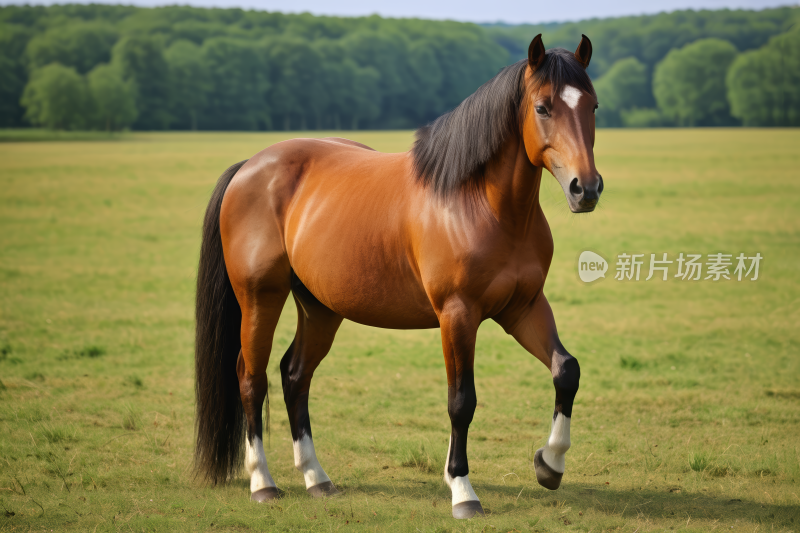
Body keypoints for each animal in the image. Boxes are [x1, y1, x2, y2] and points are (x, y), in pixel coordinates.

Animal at [197, 34, 604, 520]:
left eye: (593, 106)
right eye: (543, 107)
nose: (586, 188)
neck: (481, 203)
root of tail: (250, 166)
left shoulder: (522, 308)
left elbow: (566, 370)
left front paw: (550, 463)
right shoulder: (457, 315)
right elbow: (461, 401)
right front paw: (462, 489)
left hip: (319, 307)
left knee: (294, 375)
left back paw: (317, 478)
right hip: (261, 297)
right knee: (251, 378)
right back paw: (263, 482)